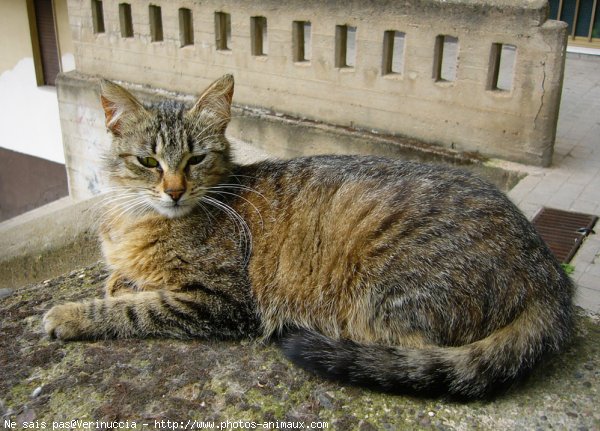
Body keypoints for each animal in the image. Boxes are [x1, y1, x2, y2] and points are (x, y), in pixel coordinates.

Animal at [39, 73, 576, 398]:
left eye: (196, 159)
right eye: (148, 161)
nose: (173, 190)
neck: (141, 220)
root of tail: (550, 277)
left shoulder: (220, 301)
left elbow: (133, 309)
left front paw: (70, 313)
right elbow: (123, 282)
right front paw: (120, 279)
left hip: (382, 294)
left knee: (406, 351)